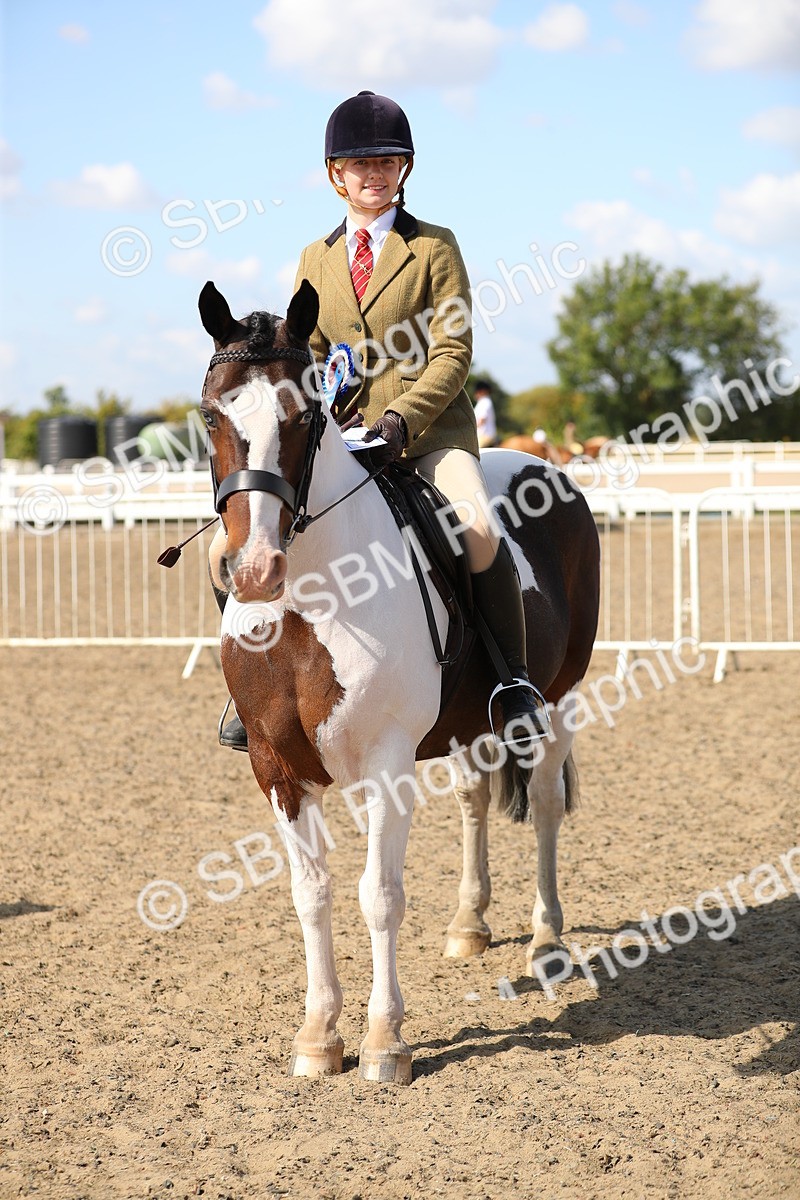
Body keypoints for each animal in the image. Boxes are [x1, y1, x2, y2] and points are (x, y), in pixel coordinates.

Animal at [198, 279, 600, 1085]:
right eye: (210, 415)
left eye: (304, 416)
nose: (252, 571)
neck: (312, 600)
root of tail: (549, 467)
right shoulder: (275, 767)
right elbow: (311, 894)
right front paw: (319, 1036)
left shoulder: (387, 763)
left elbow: (378, 896)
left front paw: (386, 1041)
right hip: (469, 724)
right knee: (477, 800)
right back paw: (470, 924)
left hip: (558, 698)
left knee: (543, 803)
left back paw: (546, 942)